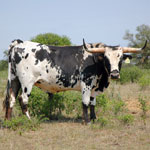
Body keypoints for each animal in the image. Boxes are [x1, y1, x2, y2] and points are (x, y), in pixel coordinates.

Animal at [3, 38, 146, 123]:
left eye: (120, 58)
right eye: (106, 58)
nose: (115, 74)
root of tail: (19, 43)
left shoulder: (94, 88)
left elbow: (93, 103)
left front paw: (94, 119)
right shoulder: (86, 85)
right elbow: (86, 103)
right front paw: (87, 121)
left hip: (14, 79)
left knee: (11, 98)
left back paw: (9, 121)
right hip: (27, 82)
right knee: (22, 99)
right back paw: (29, 119)